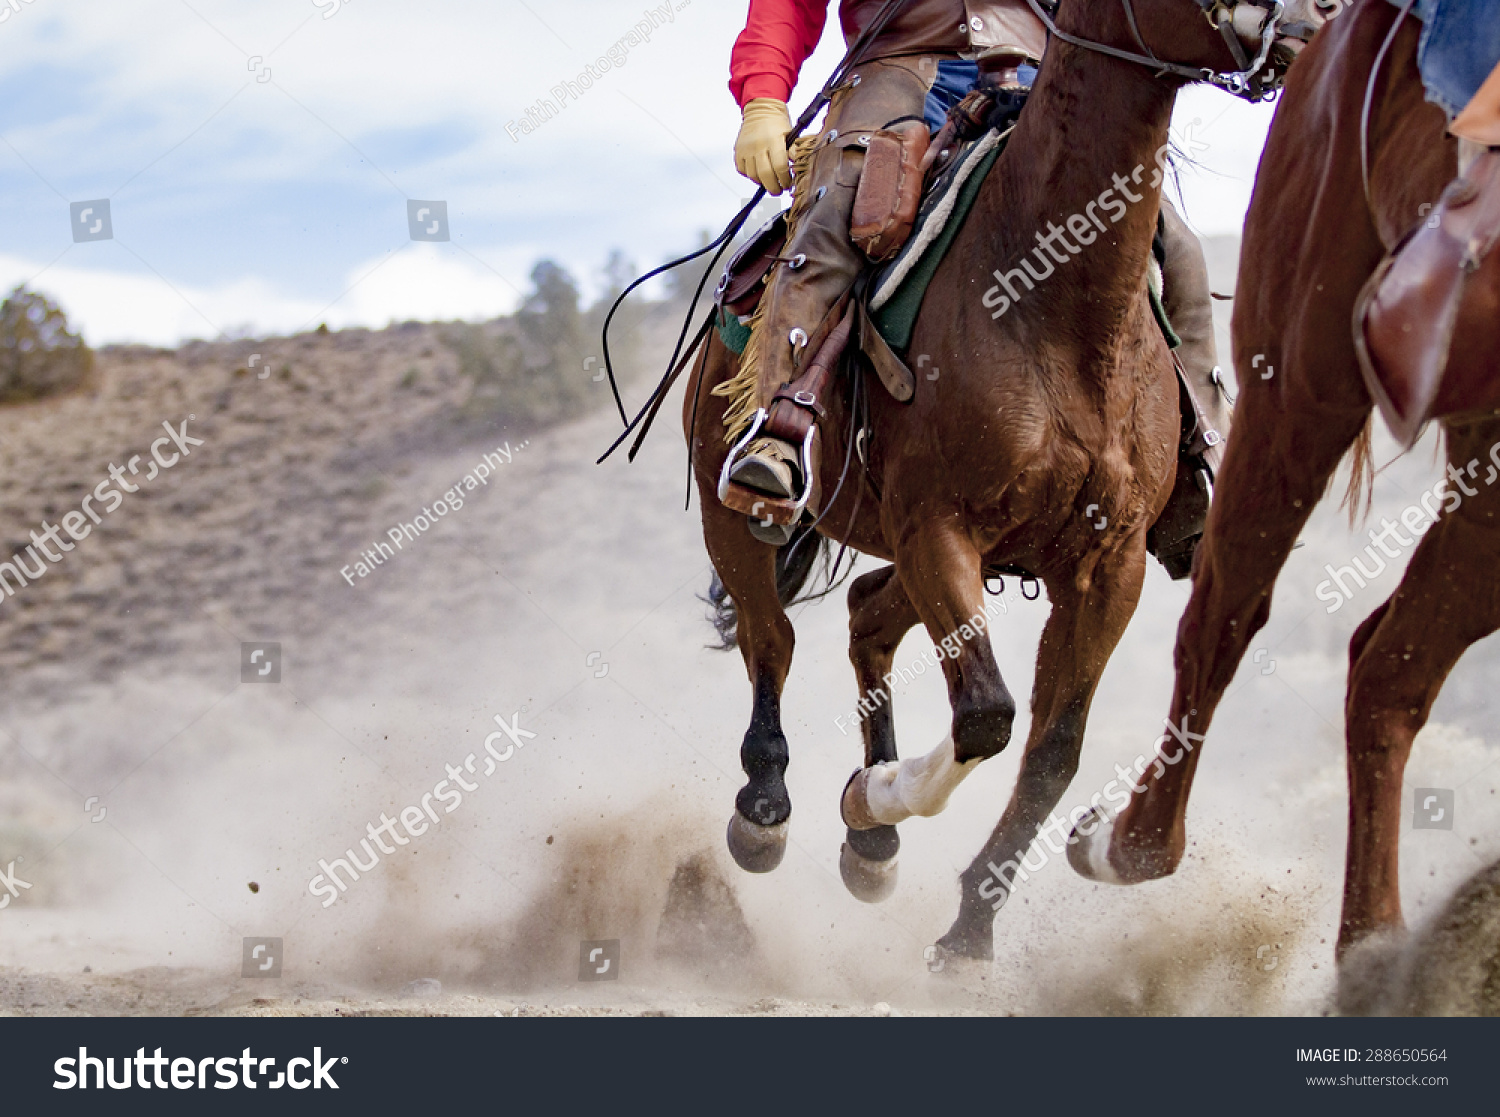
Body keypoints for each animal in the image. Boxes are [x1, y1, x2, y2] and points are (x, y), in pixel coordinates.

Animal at [681, 0, 1314, 959]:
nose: (1312, 29)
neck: (1050, 294)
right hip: (741, 513)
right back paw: (767, 807)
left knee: (864, 615)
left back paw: (871, 845)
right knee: (771, 638)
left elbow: (1051, 750)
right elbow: (986, 711)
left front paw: (967, 928)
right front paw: (875, 798)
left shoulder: (1106, 566)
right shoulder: (939, 530)